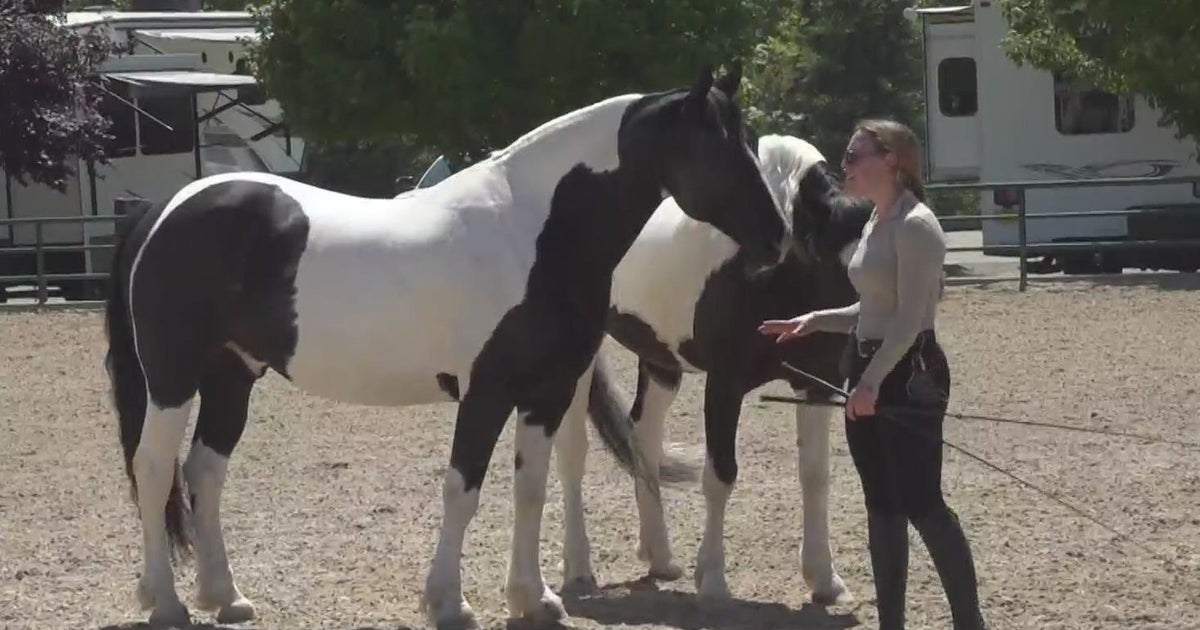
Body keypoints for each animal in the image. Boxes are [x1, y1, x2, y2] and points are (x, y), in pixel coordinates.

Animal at [101, 64, 791, 630]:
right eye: (717, 147)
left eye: (750, 141)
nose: (778, 238)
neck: (533, 232)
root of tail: (164, 209)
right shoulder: (485, 392)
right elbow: (464, 490)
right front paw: (449, 603)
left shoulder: (545, 393)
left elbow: (530, 490)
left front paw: (535, 599)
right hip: (171, 377)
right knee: (154, 467)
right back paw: (167, 603)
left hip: (232, 374)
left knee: (204, 470)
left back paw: (226, 596)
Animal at [553, 134, 874, 603]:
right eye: (844, 266)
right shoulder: (725, 383)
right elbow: (720, 475)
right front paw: (713, 580)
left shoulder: (818, 384)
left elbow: (815, 475)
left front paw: (824, 579)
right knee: (572, 452)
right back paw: (578, 570)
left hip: (660, 360)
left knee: (642, 437)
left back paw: (660, 558)